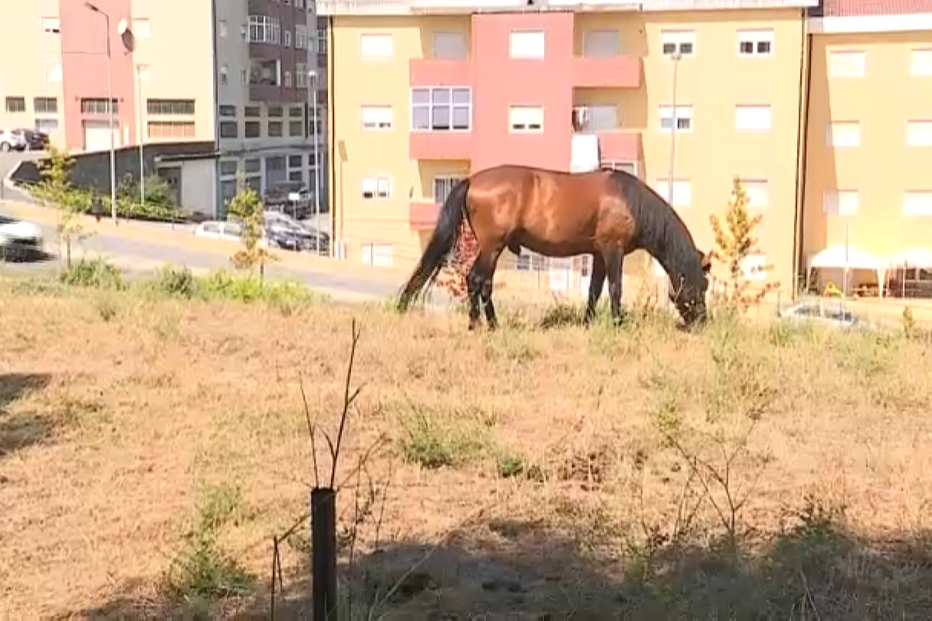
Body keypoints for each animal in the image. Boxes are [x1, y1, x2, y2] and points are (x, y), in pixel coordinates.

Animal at [396, 164, 712, 331]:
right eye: (701, 286)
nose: (702, 322)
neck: (630, 202)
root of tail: (472, 180)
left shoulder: (598, 254)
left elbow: (594, 290)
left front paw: (587, 322)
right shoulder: (613, 250)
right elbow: (615, 288)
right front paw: (618, 323)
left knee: (480, 282)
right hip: (492, 247)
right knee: (477, 280)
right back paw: (484, 325)